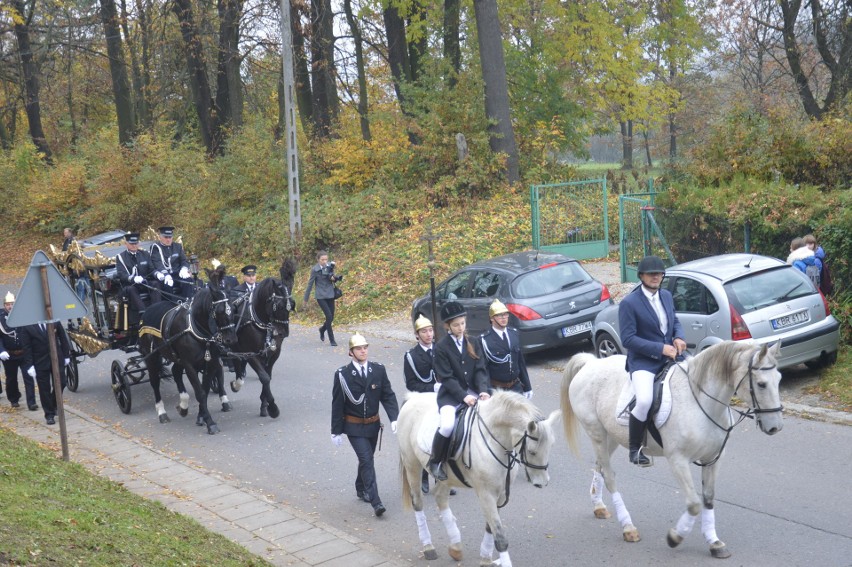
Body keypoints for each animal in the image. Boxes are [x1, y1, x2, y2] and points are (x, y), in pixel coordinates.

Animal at [138, 270, 236, 434]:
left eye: (234, 309)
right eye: (220, 311)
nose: (230, 339)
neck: (197, 330)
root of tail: (148, 310)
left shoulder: (209, 362)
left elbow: (204, 389)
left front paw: (201, 416)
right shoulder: (190, 365)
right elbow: (200, 393)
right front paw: (210, 422)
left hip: (177, 358)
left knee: (176, 372)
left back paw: (183, 405)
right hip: (152, 357)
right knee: (155, 381)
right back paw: (162, 412)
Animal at [223, 260, 296, 420]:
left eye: (292, 306)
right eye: (278, 306)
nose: (283, 333)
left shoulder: (272, 353)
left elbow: (268, 376)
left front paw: (264, 405)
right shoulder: (251, 353)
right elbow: (264, 377)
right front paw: (273, 408)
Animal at [398, 392, 560, 564]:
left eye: (551, 447)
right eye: (532, 451)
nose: (542, 483)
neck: (495, 440)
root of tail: (413, 397)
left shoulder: (501, 494)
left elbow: (491, 528)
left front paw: (486, 559)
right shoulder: (486, 494)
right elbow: (500, 537)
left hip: (447, 476)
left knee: (440, 497)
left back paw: (456, 547)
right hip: (412, 464)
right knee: (418, 502)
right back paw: (429, 547)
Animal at [564, 342, 784, 560]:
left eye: (779, 379)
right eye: (762, 384)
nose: (776, 427)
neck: (702, 403)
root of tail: (590, 363)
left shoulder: (713, 459)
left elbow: (708, 498)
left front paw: (714, 542)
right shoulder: (678, 460)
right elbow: (694, 504)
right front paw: (675, 537)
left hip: (610, 438)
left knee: (599, 467)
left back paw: (599, 507)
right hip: (597, 434)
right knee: (609, 476)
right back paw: (628, 527)